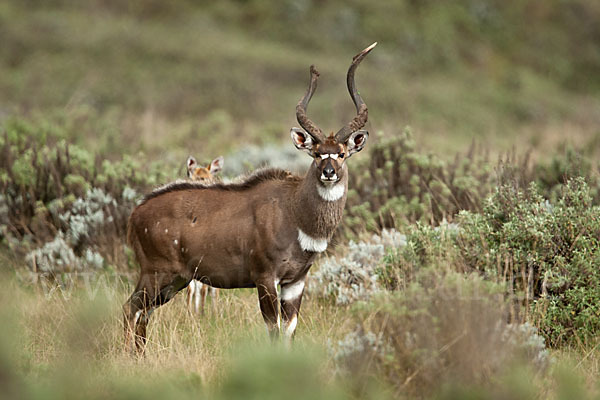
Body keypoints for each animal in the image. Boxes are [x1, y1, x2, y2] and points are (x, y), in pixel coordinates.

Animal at [123, 42, 376, 352]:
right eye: (317, 153)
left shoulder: (296, 282)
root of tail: (136, 214)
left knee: (142, 313)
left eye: (341, 153)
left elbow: (289, 331)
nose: (329, 173)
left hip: (175, 280)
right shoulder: (265, 277)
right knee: (130, 308)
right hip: (157, 274)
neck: (294, 212)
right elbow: (274, 330)